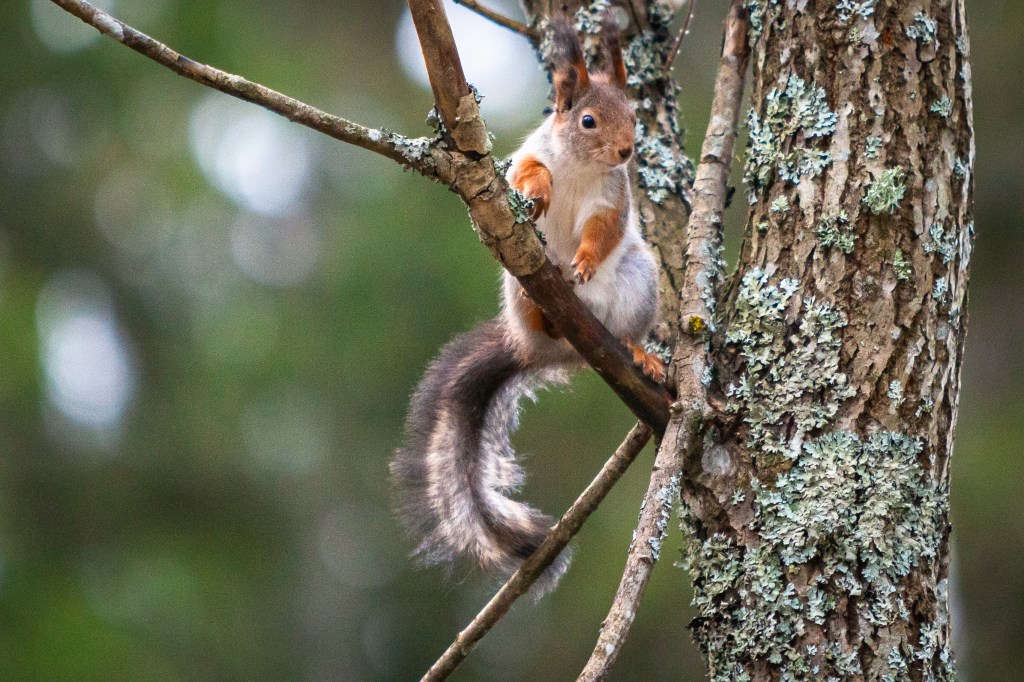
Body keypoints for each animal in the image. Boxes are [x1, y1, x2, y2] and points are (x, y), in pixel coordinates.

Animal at [391, 18, 663, 595]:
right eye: (587, 119)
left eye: (634, 116)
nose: (627, 151)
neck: (582, 166)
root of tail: (546, 350)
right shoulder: (533, 154)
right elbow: (528, 174)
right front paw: (537, 196)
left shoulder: (612, 201)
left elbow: (603, 233)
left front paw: (585, 262)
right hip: (518, 289)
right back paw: (547, 314)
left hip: (639, 281)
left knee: (627, 327)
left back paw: (639, 352)